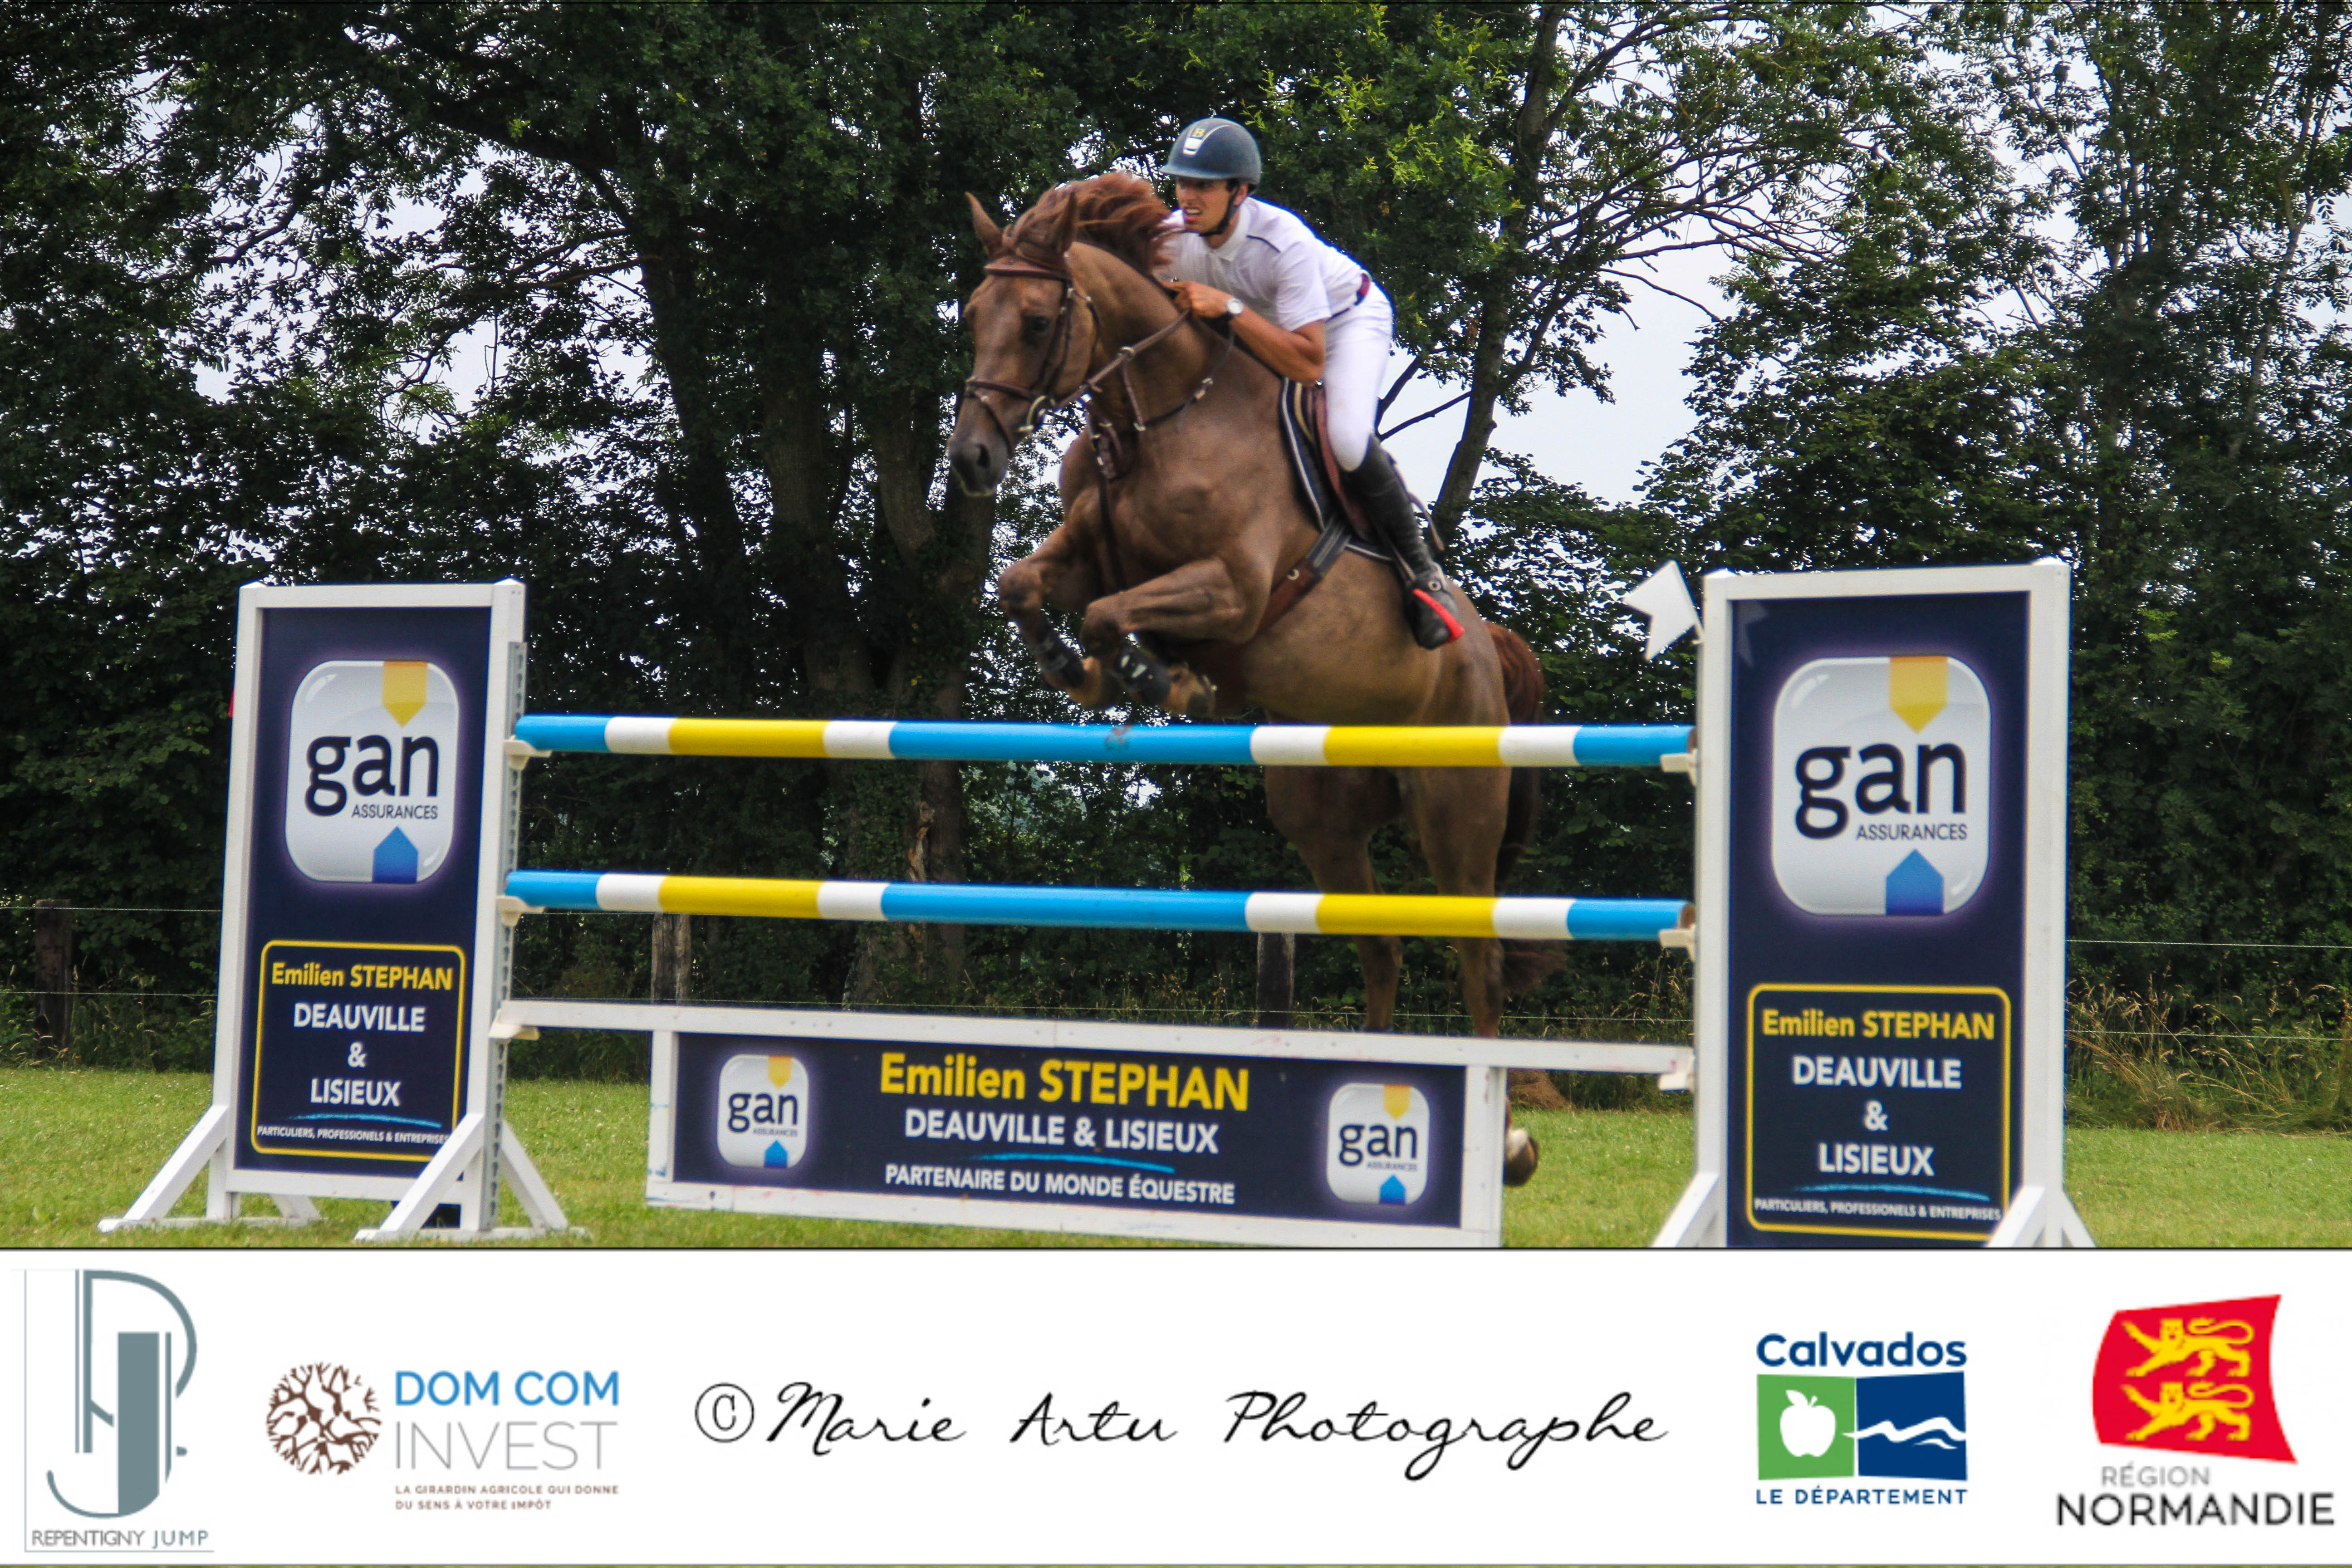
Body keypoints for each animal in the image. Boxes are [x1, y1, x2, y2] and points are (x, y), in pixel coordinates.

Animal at [946, 174, 1563, 1182]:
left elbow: (1113, 615)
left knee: (1475, 959)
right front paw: (1077, 669)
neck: (1161, 418)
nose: (971, 460)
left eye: (1037, 322)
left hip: (1455, 812)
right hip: (1322, 821)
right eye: (971, 317)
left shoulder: (1233, 592)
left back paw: (1502, 1143)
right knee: (1382, 944)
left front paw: (1161, 680)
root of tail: (1487, 649)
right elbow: (1024, 584)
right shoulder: (1088, 553)